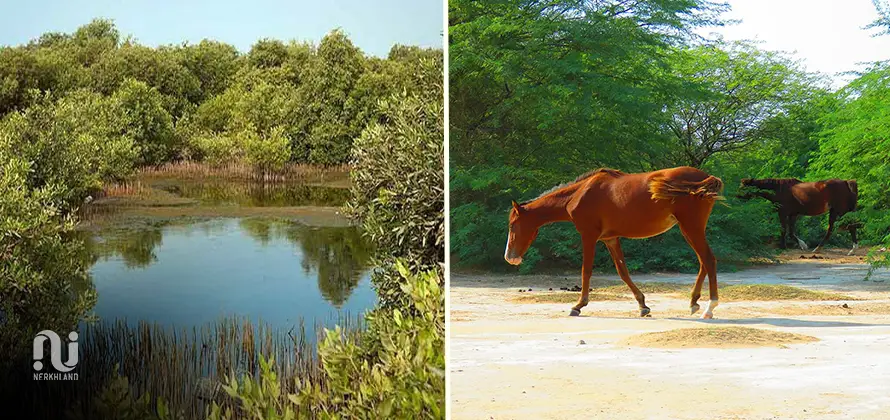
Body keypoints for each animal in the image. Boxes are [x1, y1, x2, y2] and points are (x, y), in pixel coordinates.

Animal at [502, 167, 724, 318]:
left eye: (513, 225)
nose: (510, 258)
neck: (580, 193)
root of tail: (705, 178)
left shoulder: (589, 236)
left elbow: (586, 270)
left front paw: (578, 305)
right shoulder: (610, 239)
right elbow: (622, 271)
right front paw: (643, 306)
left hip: (691, 228)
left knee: (708, 260)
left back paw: (709, 307)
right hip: (689, 230)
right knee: (703, 262)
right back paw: (693, 302)